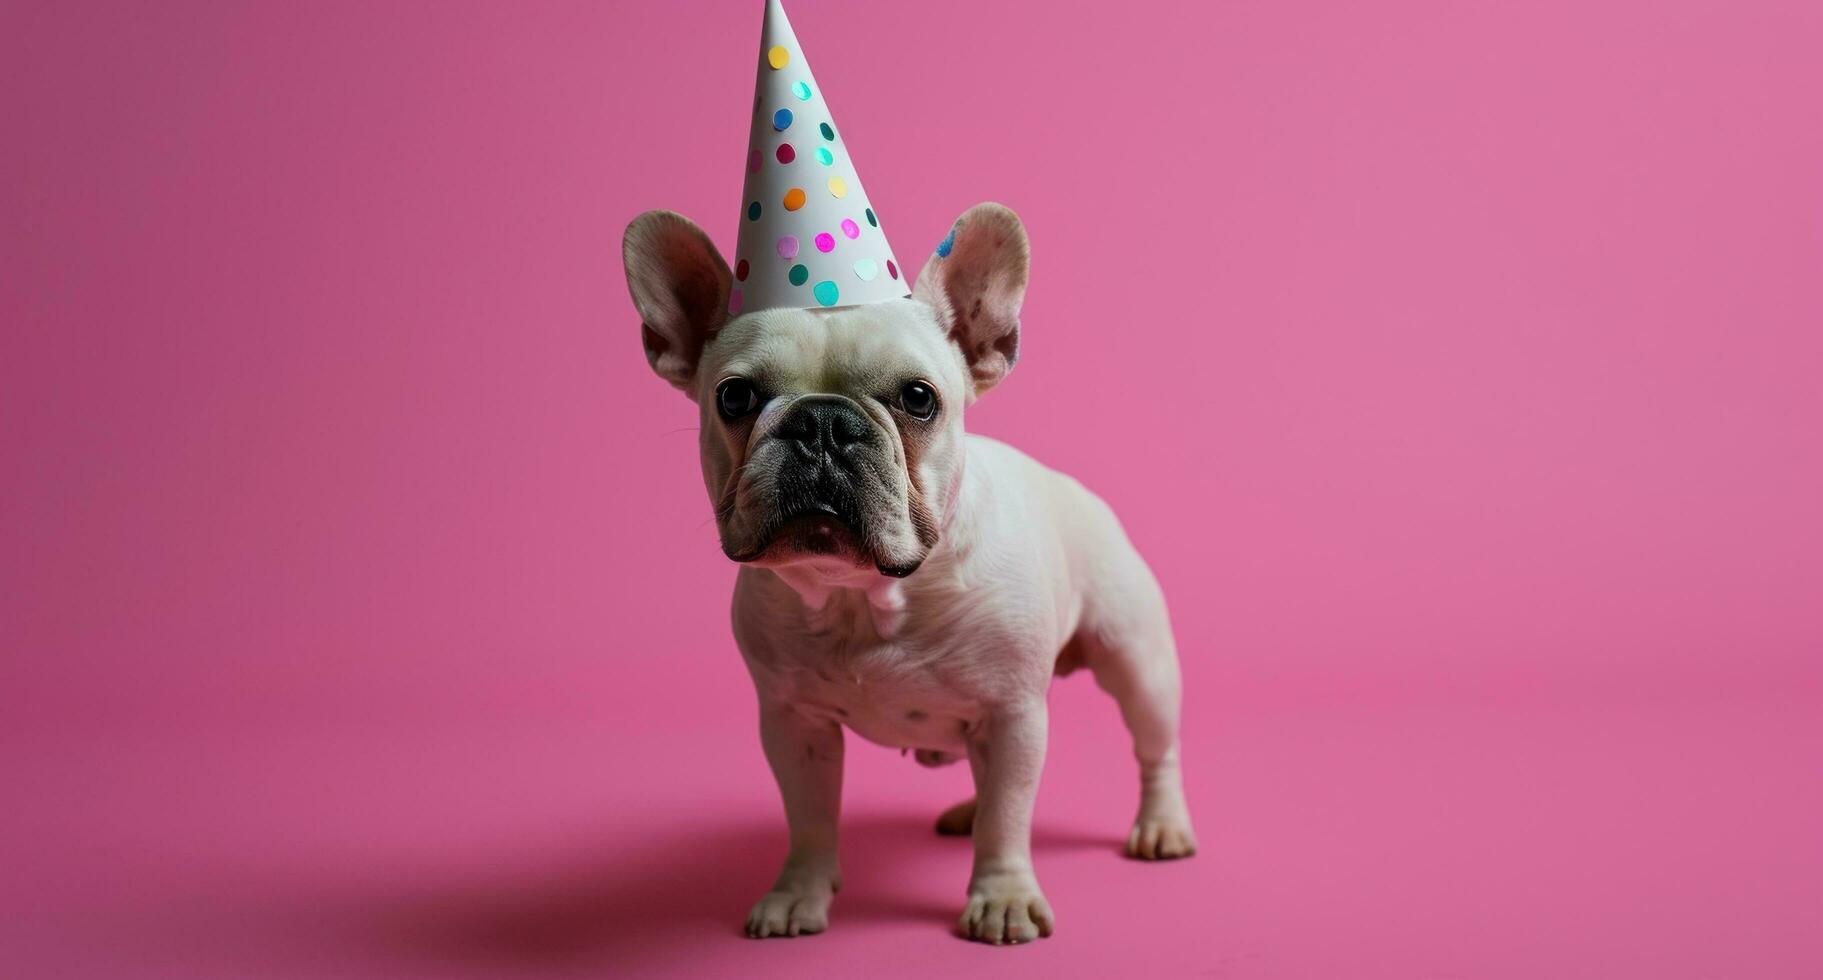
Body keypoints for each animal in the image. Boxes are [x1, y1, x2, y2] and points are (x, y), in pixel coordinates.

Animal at [627, 202, 1195, 939]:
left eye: (919, 398)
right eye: (735, 397)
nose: (820, 422)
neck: (866, 595)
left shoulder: (1013, 715)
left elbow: (1009, 818)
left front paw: (1002, 897)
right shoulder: (793, 724)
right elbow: (809, 818)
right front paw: (798, 892)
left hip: (1136, 661)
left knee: (1154, 750)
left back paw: (1162, 826)